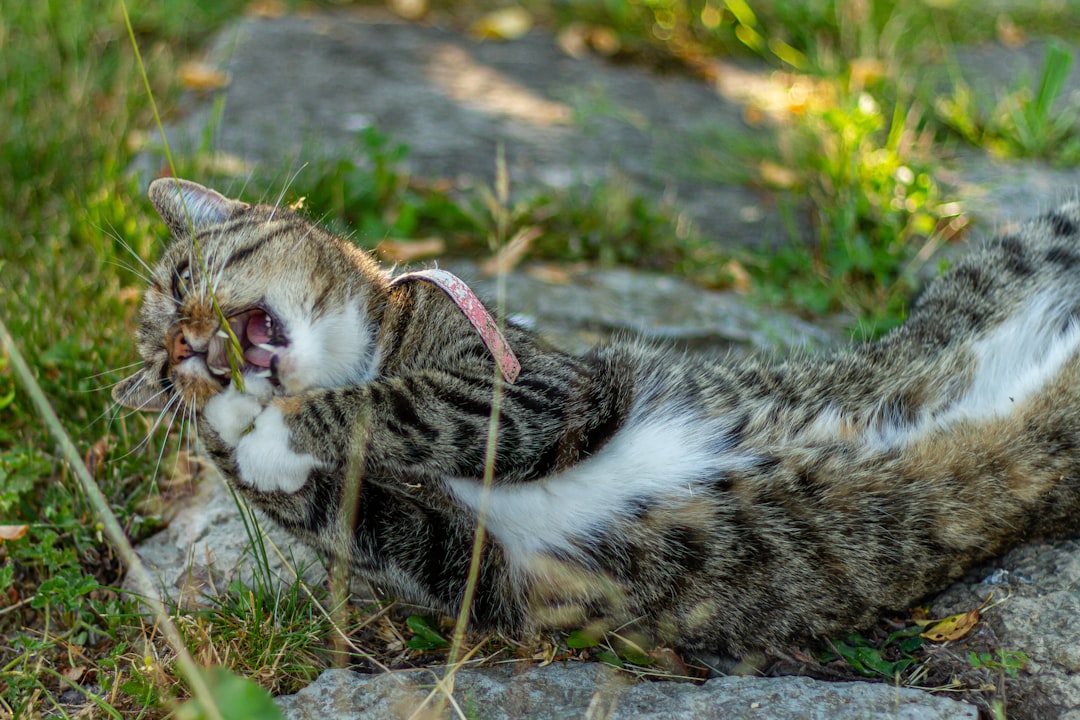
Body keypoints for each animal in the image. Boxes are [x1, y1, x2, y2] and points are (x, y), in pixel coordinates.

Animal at [111, 179, 1080, 660]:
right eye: (158, 364)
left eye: (186, 278)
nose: (188, 350)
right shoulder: (480, 570)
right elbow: (372, 518)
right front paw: (232, 436)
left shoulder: (540, 389)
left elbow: (409, 403)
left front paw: (268, 424)